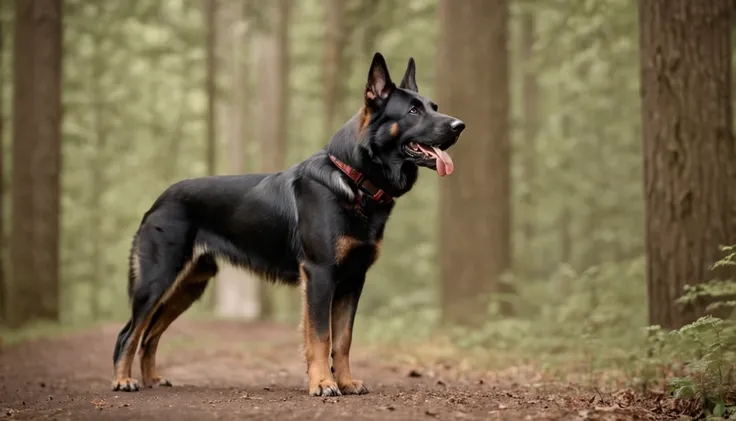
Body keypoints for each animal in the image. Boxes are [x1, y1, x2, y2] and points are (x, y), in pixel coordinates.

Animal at [110, 51, 466, 394]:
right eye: (413, 111)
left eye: (434, 107)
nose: (460, 125)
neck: (353, 178)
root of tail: (158, 201)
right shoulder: (320, 275)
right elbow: (320, 337)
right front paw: (322, 384)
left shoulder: (353, 279)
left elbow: (343, 339)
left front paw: (346, 382)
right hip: (159, 279)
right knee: (129, 333)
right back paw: (123, 381)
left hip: (189, 285)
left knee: (150, 335)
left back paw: (151, 379)